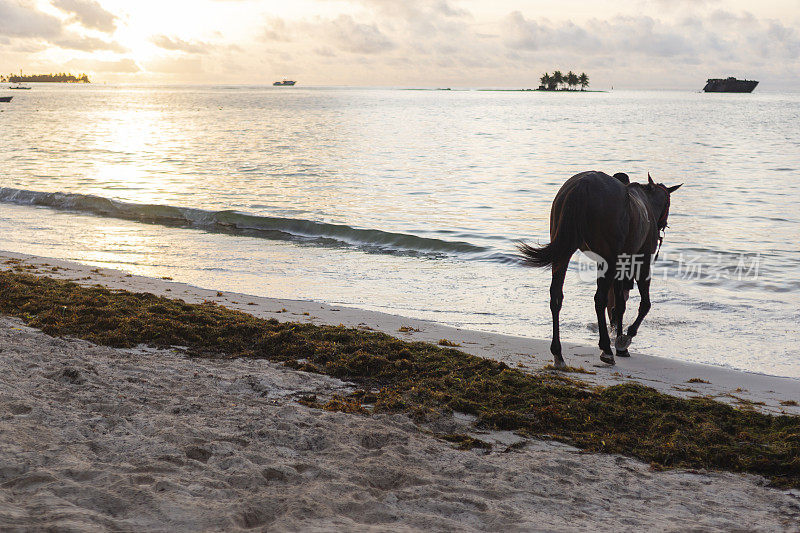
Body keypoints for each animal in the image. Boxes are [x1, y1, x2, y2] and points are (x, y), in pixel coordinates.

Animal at [520, 172, 680, 368]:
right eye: (668, 204)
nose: (663, 225)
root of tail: (584, 183)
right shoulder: (640, 262)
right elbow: (644, 304)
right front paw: (625, 338)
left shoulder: (619, 265)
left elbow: (619, 305)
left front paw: (620, 342)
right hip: (608, 258)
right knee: (599, 299)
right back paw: (606, 349)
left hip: (563, 251)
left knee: (556, 296)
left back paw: (558, 353)